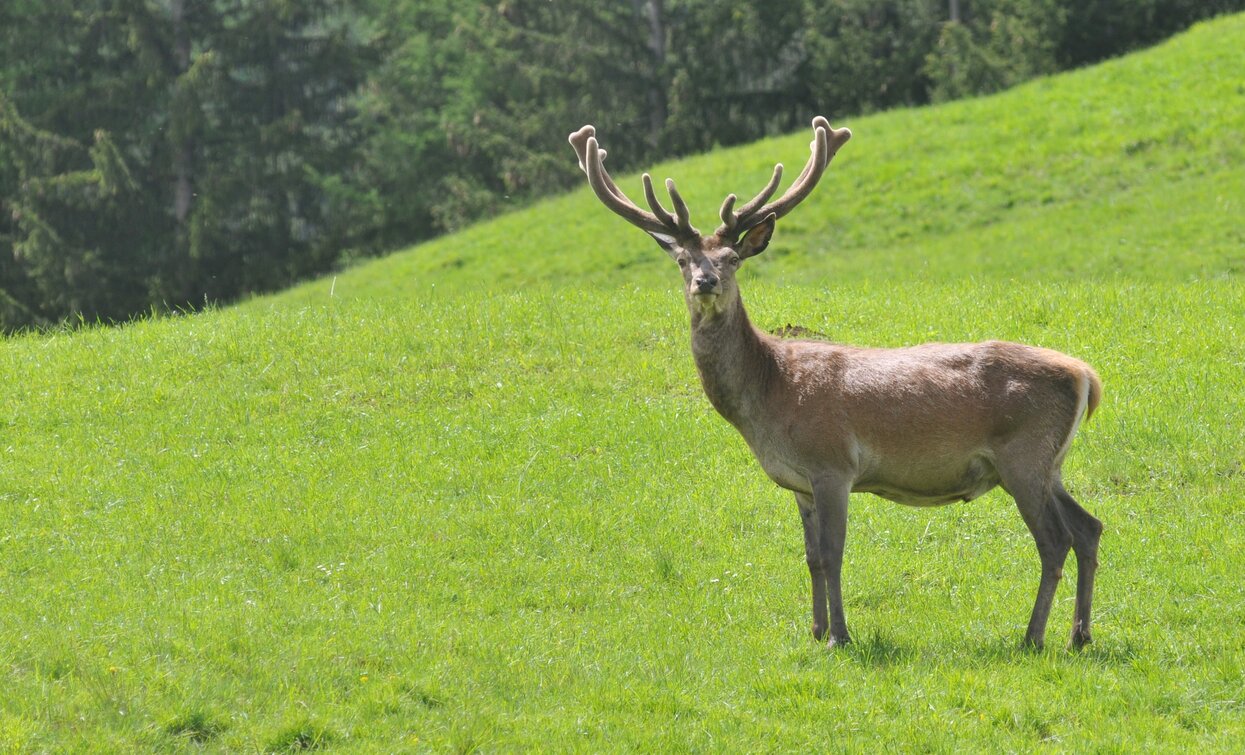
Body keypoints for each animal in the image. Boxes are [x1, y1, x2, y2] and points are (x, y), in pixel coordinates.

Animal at [570, 117, 1105, 652]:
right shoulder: (799, 483)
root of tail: (1086, 376)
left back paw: (1033, 637)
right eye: (683, 260)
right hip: (1050, 463)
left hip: (1023, 454)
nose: (706, 282)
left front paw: (840, 637)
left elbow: (832, 554)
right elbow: (810, 557)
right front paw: (814, 630)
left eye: (731, 258)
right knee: (1089, 526)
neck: (769, 398)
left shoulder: (832, 465)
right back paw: (1079, 635)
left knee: (1055, 540)